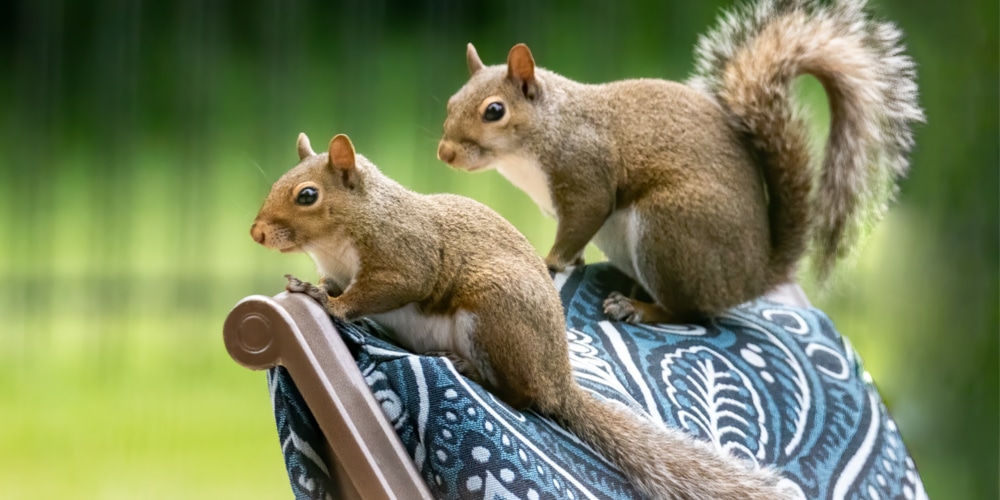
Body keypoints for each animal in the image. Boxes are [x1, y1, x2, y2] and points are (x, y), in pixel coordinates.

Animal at [252, 132, 796, 496]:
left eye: (308, 195)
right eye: (278, 181)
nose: (256, 233)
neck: (343, 238)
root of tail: (558, 377)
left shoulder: (405, 257)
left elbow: (381, 290)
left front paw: (327, 302)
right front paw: (310, 286)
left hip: (495, 314)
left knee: (523, 394)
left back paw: (472, 369)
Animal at [442, 0, 924, 324]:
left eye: (494, 111)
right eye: (450, 102)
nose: (444, 153)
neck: (544, 132)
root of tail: (751, 277)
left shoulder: (586, 174)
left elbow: (580, 223)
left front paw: (551, 263)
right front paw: (569, 261)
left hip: (669, 230)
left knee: (688, 313)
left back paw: (638, 307)